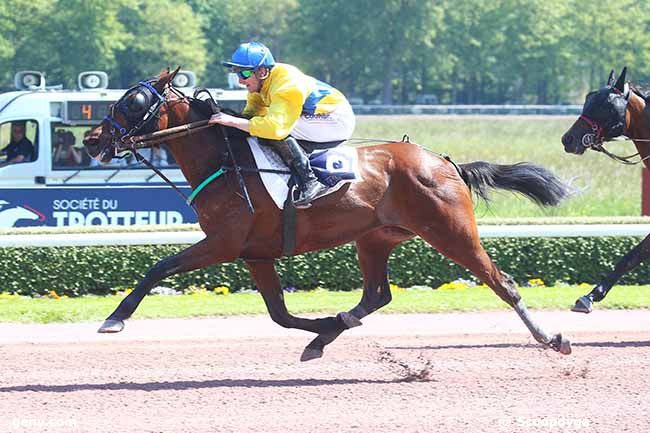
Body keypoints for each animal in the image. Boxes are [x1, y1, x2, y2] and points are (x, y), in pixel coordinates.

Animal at [86, 67, 572, 358]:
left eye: (132, 102)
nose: (92, 140)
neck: (224, 159)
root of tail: (445, 162)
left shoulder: (223, 243)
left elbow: (158, 267)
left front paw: (114, 318)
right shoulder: (255, 253)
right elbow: (279, 314)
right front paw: (322, 325)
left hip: (451, 232)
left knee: (503, 283)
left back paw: (551, 337)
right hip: (375, 238)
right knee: (377, 295)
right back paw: (330, 332)